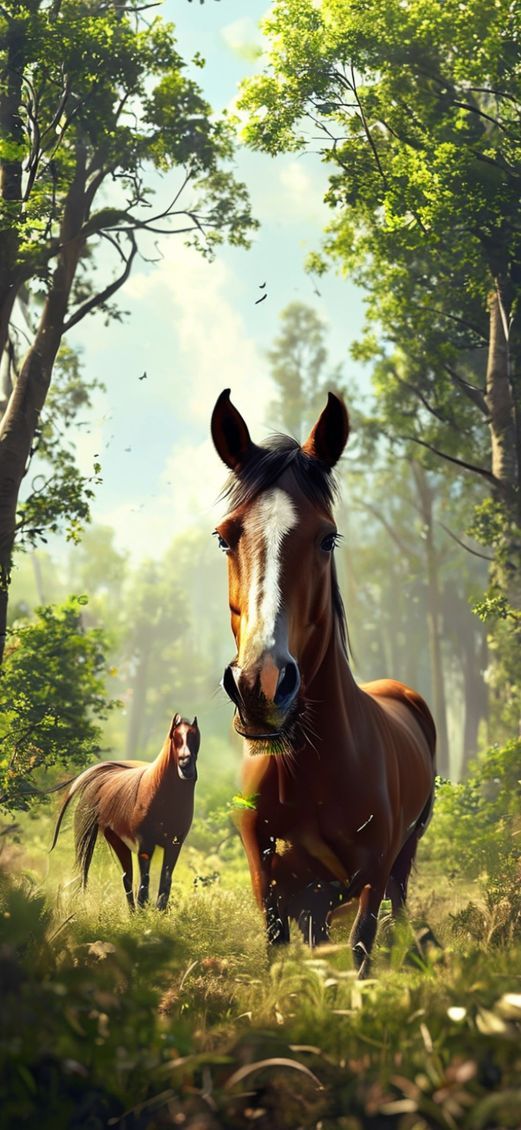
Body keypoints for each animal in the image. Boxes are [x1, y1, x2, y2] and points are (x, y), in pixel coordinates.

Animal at [51, 714, 200, 911]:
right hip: (108, 839)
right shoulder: (145, 845)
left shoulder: (174, 844)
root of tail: (101, 779)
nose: (186, 764)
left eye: (194, 736)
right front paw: (144, 911)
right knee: (118, 876)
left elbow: (165, 881)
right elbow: (144, 881)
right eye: (175, 737)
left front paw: (159, 911)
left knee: (126, 876)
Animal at [211, 388, 436, 974]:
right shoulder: (272, 888)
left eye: (328, 538)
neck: (308, 772)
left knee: (401, 904)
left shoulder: (370, 880)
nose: (261, 684)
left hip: (406, 854)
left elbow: (360, 949)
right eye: (225, 538)